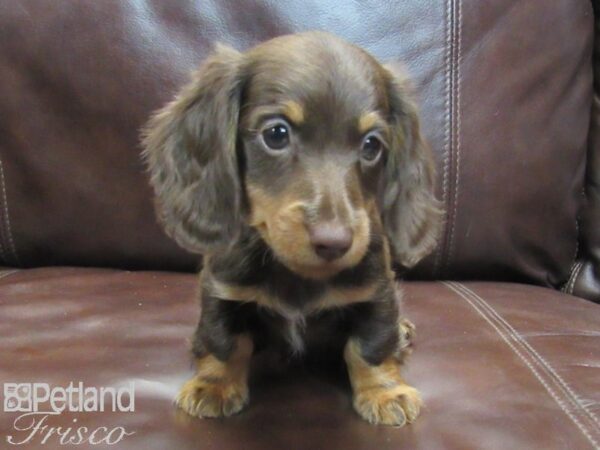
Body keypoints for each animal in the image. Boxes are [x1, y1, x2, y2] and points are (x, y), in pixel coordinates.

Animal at [141, 30, 440, 426]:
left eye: (372, 144)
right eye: (276, 134)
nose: (335, 242)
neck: (298, 277)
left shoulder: (376, 290)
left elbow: (371, 344)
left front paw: (385, 391)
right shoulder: (222, 287)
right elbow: (223, 340)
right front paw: (214, 385)